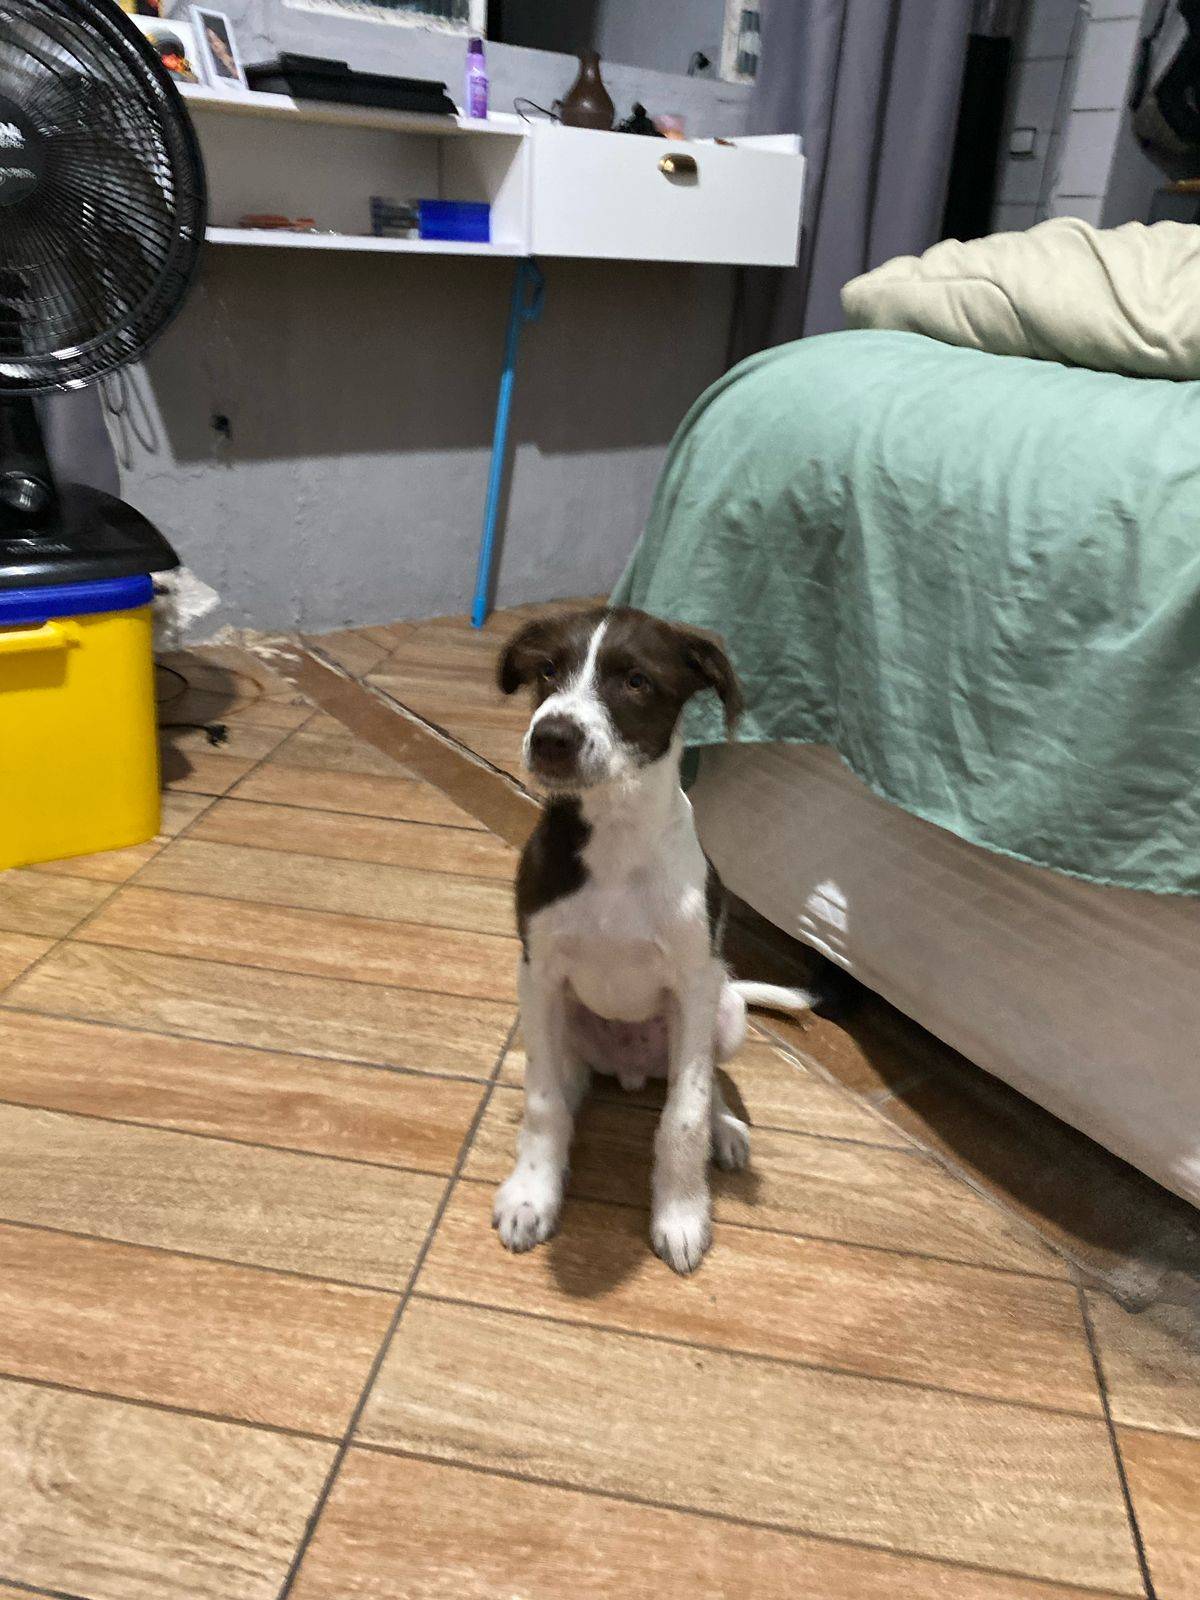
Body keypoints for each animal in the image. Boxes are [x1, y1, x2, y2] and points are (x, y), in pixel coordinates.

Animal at [493, 605, 816, 1273]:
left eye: (636, 681)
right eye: (547, 671)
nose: (551, 736)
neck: (617, 839)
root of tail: (633, 1068)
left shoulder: (694, 984)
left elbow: (684, 1116)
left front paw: (682, 1213)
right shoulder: (537, 971)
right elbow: (541, 1103)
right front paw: (533, 1194)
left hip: (727, 1009)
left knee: (707, 1080)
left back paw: (726, 1129)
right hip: (554, 1015)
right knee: (560, 1078)